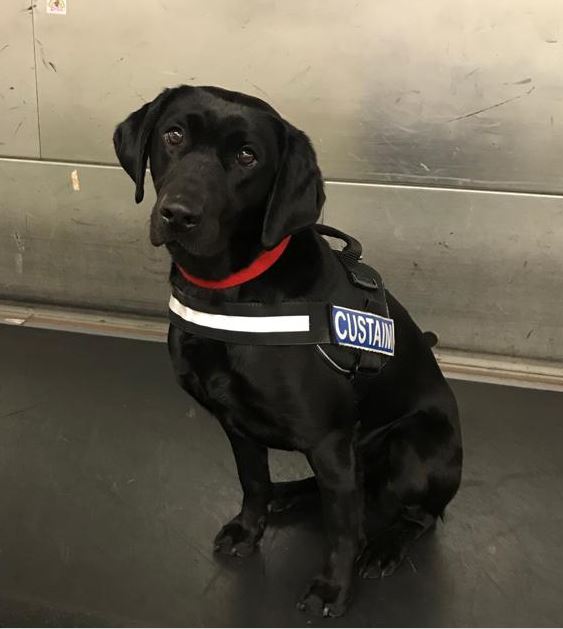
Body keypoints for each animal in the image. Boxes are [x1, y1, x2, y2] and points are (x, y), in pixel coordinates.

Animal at [114, 86, 462, 616]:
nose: (179, 214)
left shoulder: (330, 440)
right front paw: (248, 529)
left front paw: (333, 589)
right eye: (172, 135)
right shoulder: (236, 425)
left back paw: (386, 546)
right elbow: (253, 482)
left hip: (412, 448)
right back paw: (292, 494)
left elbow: (343, 529)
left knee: (419, 515)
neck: (229, 292)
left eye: (247, 156)